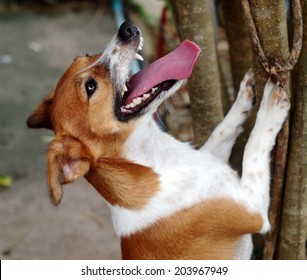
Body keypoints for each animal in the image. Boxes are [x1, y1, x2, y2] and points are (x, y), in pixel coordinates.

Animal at [27, 21, 292, 260]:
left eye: (84, 56)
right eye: (90, 87)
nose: (126, 28)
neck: (157, 159)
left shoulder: (212, 154)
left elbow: (223, 130)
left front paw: (243, 97)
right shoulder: (254, 208)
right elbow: (254, 147)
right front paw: (271, 106)